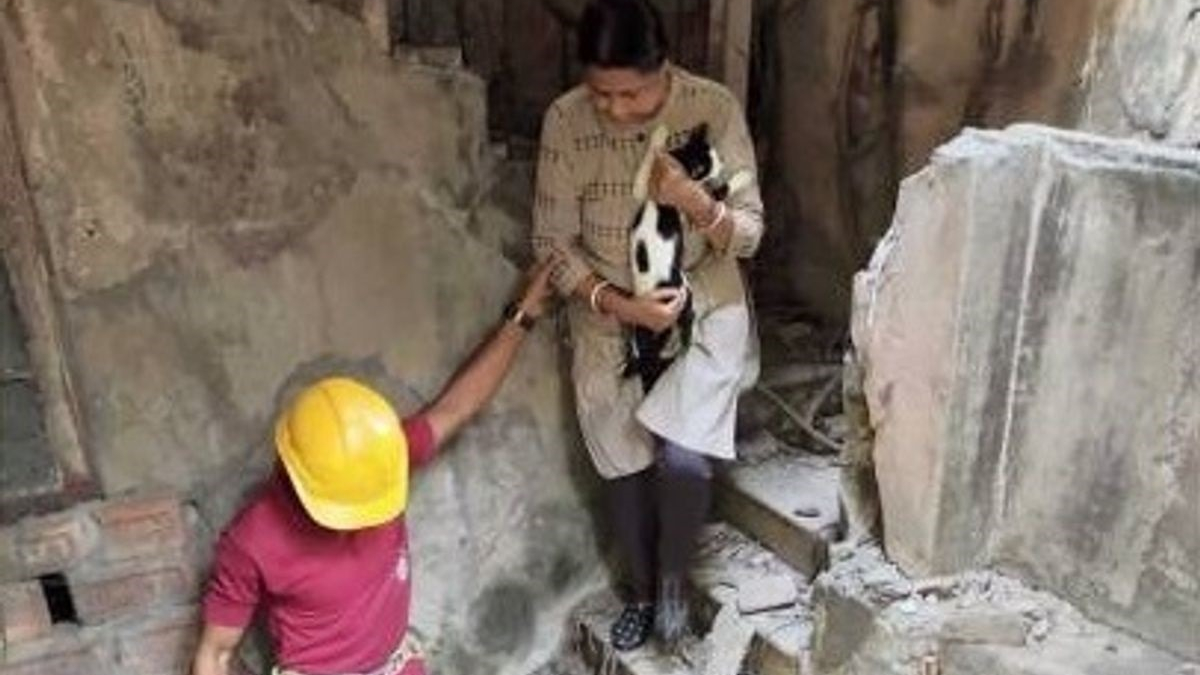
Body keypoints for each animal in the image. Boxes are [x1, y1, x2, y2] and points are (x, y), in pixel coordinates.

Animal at [628, 123, 748, 391]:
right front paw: (744, 175)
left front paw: (659, 135)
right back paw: (689, 343)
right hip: (683, 295)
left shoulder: (641, 190)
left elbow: (645, 166)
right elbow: (722, 190)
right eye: (710, 164)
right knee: (685, 329)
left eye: (716, 154)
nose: (724, 161)